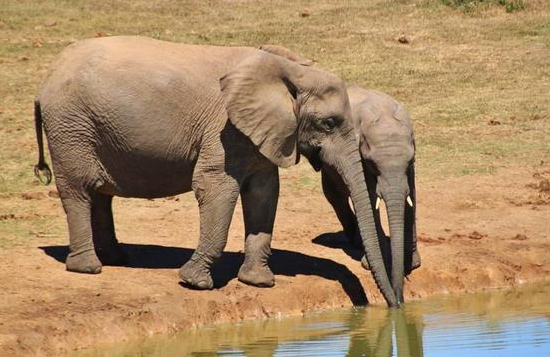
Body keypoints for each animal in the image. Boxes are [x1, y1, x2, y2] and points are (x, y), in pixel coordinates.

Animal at [33, 38, 402, 306]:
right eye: (328, 123)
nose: (395, 304)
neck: (287, 69)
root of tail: (46, 79)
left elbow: (264, 193)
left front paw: (258, 282)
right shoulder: (223, 130)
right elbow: (216, 187)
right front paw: (194, 283)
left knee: (100, 195)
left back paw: (116, 258)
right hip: (70, 127)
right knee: (78, 191)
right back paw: (88, 268)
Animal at [322, 86, 420, 304]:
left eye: (409, 161)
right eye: (373, 164)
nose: (398, 300)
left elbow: (411, 193)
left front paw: (413, 263)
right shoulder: (359, 155)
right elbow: (369, 195)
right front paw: (372, 262)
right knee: (334, 192)